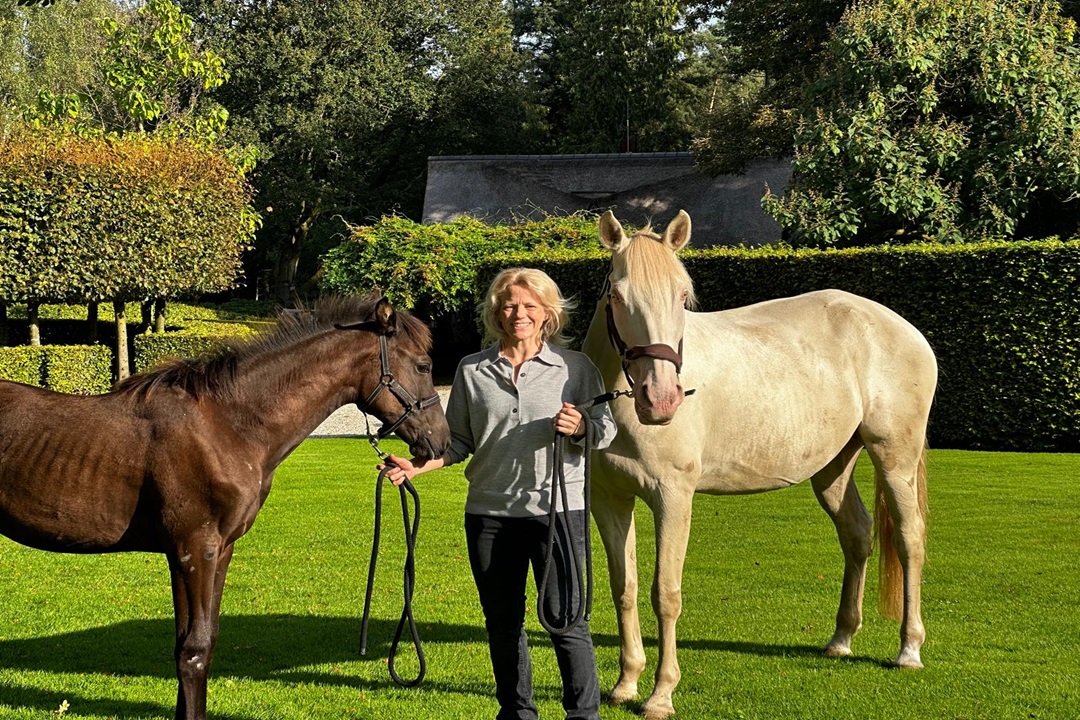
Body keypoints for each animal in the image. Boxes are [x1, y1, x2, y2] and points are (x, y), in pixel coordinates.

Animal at [0, 293, 449, 720]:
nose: (441, 442)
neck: (228, 424)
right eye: (423, 365)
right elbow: (194, 652)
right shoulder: (195, 549)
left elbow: (197, 642)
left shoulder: (215, 550)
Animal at [583, 209, 937, 720]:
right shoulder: (609, 501)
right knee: (858, 534)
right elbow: (624, 588)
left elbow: (665, 594)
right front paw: (626, 684)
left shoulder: (673, 498)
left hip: (895, 457)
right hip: (833, 470)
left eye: (682, 297)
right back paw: (841, 639)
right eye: (617, 295)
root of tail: (903, 329)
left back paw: (909, 649)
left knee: (909, 540)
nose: (662, 398)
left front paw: (661, 694)